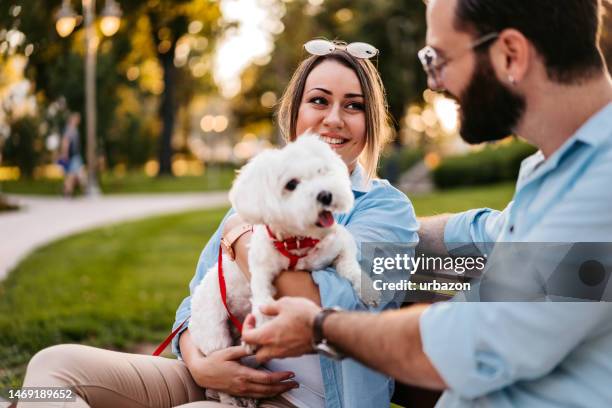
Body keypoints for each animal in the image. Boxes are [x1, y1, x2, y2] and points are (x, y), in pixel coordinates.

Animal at [189, 134, 378, 404]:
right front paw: (262, 323)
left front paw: (369, 290)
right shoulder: (261, 269)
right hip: (215, 335)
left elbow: (351, 266)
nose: (325, 195)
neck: (299, 240)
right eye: (291, 185)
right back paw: (233, 398)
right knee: (220, 376)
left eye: (322, 172)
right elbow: (261, 298)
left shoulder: (340, 245)